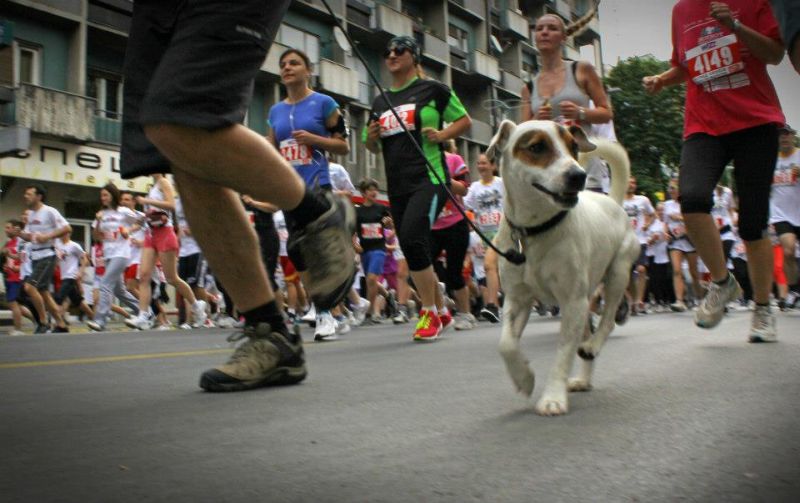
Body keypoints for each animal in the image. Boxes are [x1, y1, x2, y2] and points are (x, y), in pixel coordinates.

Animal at [486, 120, 640, 416]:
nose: (578, 175)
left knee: (607, 321)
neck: (536, 231)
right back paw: (583, 380)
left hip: (617, 274)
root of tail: (613, 201)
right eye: (536, 147)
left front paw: (553, 397)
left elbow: (564, 352)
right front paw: (524, 379)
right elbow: (506, 344)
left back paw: (591, 347)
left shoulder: (572, 301)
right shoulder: (517, 299)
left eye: (573, 147)